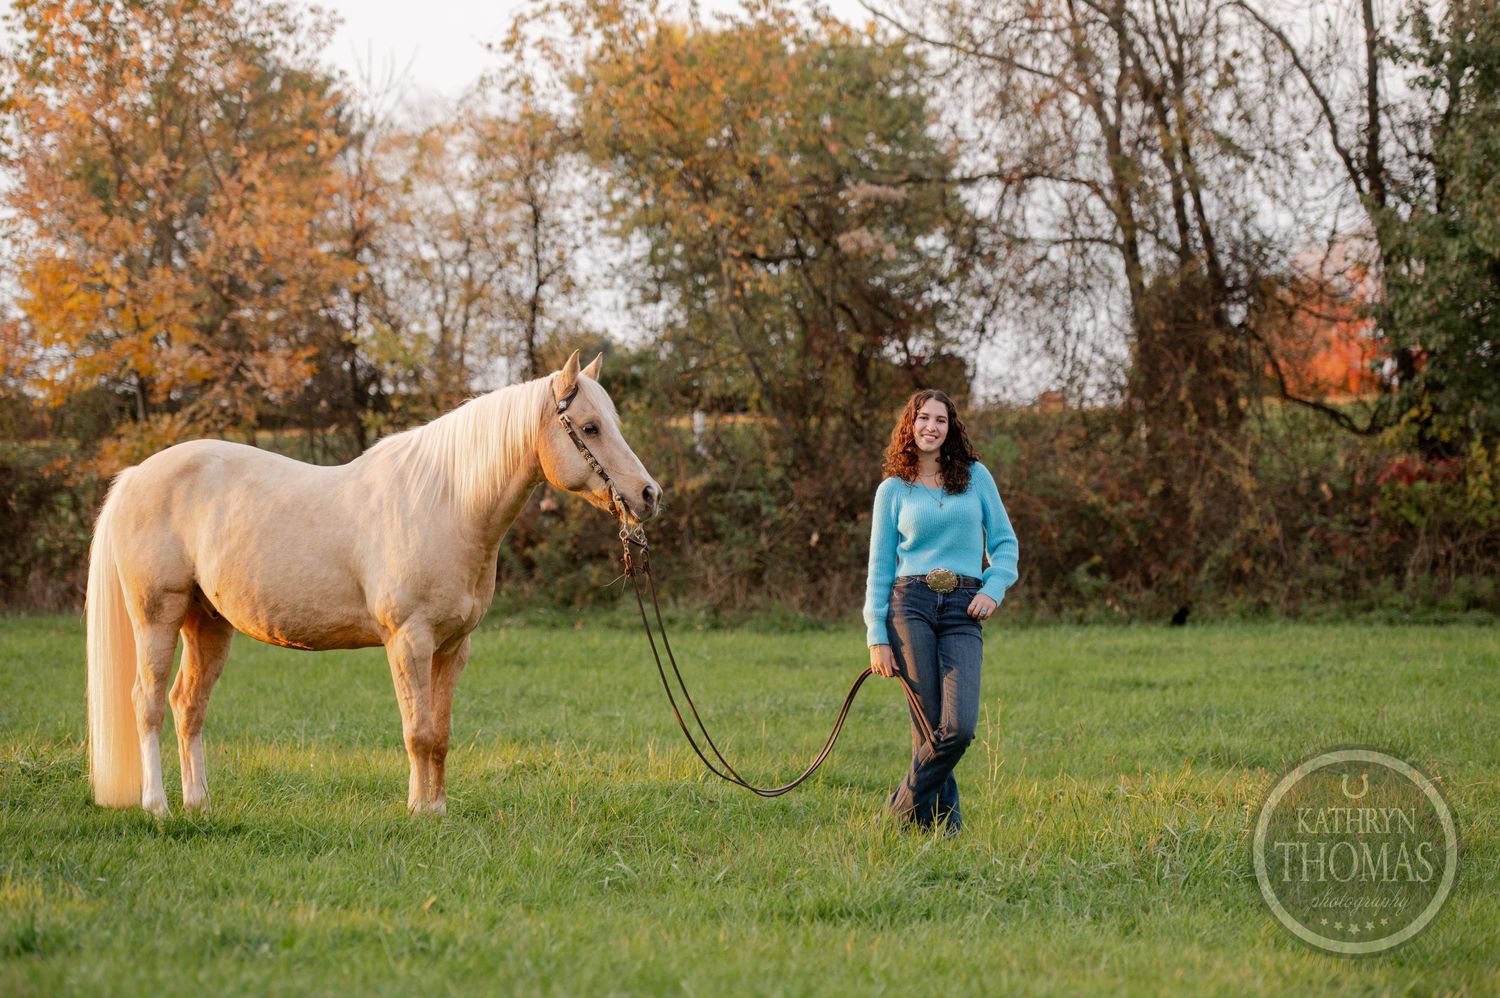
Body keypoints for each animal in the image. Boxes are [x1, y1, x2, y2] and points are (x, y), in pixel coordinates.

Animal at [85, 350, 660, 816]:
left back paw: (199, 805)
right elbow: (418, 732)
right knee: (148, 702)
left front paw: (436, 808)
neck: (446, 504)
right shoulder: (409, 641)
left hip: (206, 623)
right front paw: (420, 812)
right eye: (590, 428)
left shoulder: (453, 647)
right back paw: (157, 806)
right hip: (157, 616)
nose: (648, 495)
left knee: (188, 706)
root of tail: (135, 475)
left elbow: (440, 734)